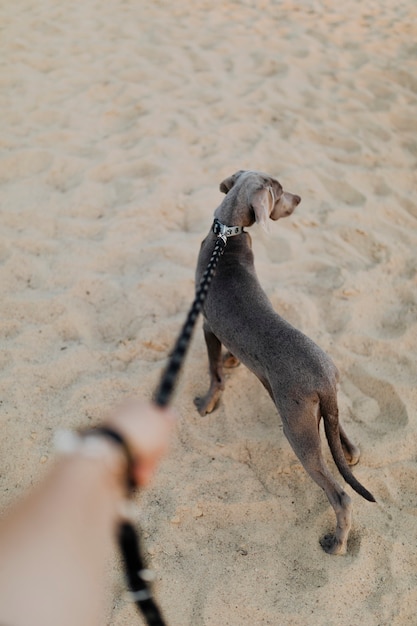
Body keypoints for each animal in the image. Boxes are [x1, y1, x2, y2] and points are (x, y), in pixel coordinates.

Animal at [194, 168, 374, 552]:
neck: (226, 239)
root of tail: (324, 379)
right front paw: (232, 361)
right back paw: (351, 451)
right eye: (279, 191)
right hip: (324, 410)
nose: (301, 198)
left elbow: (213, 372)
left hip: (297, 429)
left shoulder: (206, 325)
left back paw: (336, 543)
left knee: (341, 496)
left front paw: (207, 402)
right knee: (340, 436)